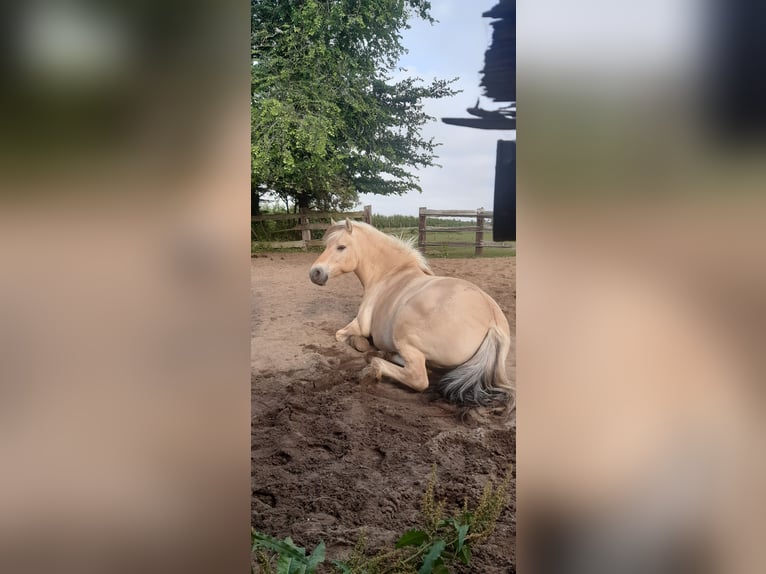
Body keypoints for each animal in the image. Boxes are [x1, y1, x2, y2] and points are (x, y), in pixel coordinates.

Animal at [308, 218, 512, 412]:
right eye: (327, 245)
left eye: (341, 247)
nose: (315, 273)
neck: (388, 275)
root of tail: (492, 322)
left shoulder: (359, 324)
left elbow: (341, 335)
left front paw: (361, 344)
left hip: (405, 336)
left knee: (418, 378)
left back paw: (373, 367)